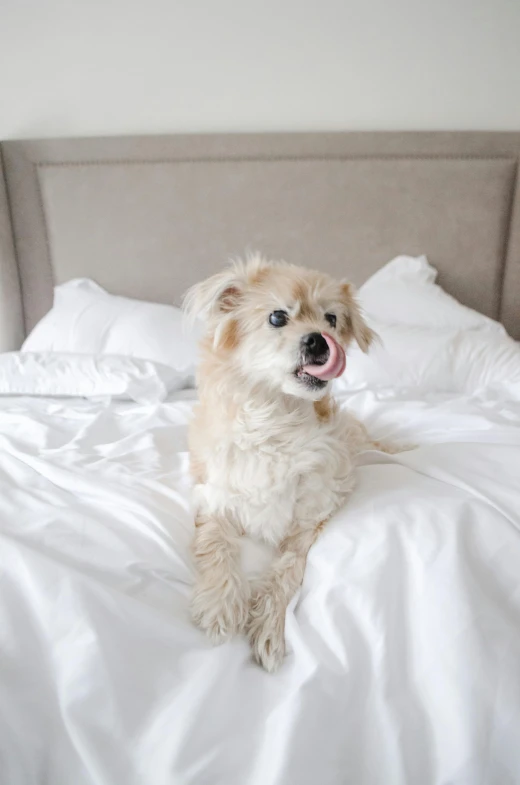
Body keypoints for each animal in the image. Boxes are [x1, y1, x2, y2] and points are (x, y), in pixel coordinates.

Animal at [184, 254, 402, 672]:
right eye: (277, 317)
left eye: (331, 319)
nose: (318, 339)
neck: (275, 420)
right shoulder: (214, 499)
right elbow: (217, 546)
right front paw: (221, 604)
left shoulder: (310, 517)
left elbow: (287, 569)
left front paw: (270, 624)